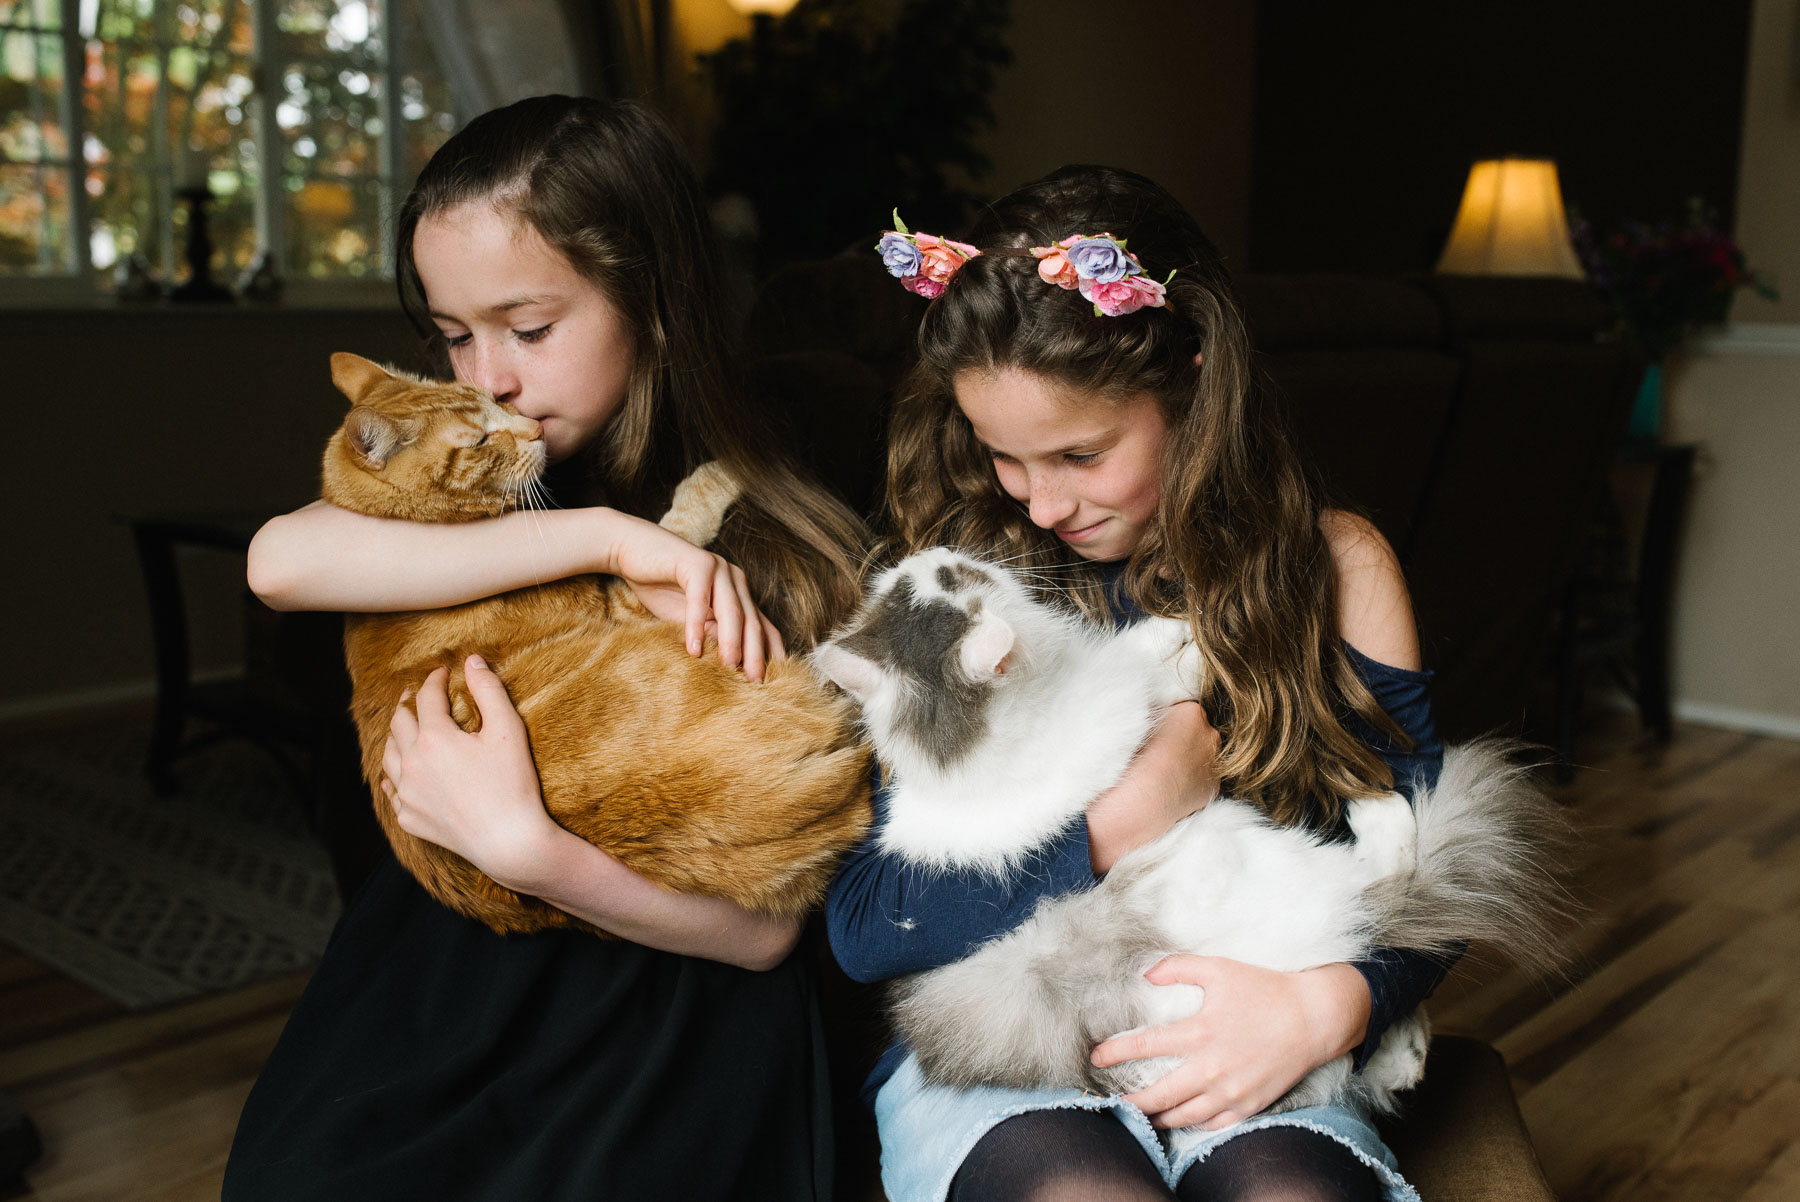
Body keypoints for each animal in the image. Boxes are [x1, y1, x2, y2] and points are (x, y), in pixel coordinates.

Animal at [322, 352, 871, 935]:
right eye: (479, 440)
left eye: (498, 401)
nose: (536, 430)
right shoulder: (626, 602)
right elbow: (680, 519)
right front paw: (723, 469)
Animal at [810, 543, 1569, 1130]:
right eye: (961, 578)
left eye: (940, 575)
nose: (931, 551)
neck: (960, 744)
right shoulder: (1123, 718)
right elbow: (1159, 668)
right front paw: (1199, 648)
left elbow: (1147, 635)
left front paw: (1189, 618)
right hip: (1245, 851)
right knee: (1384, 893)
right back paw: (1376, 815)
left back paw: (1408, 1052)